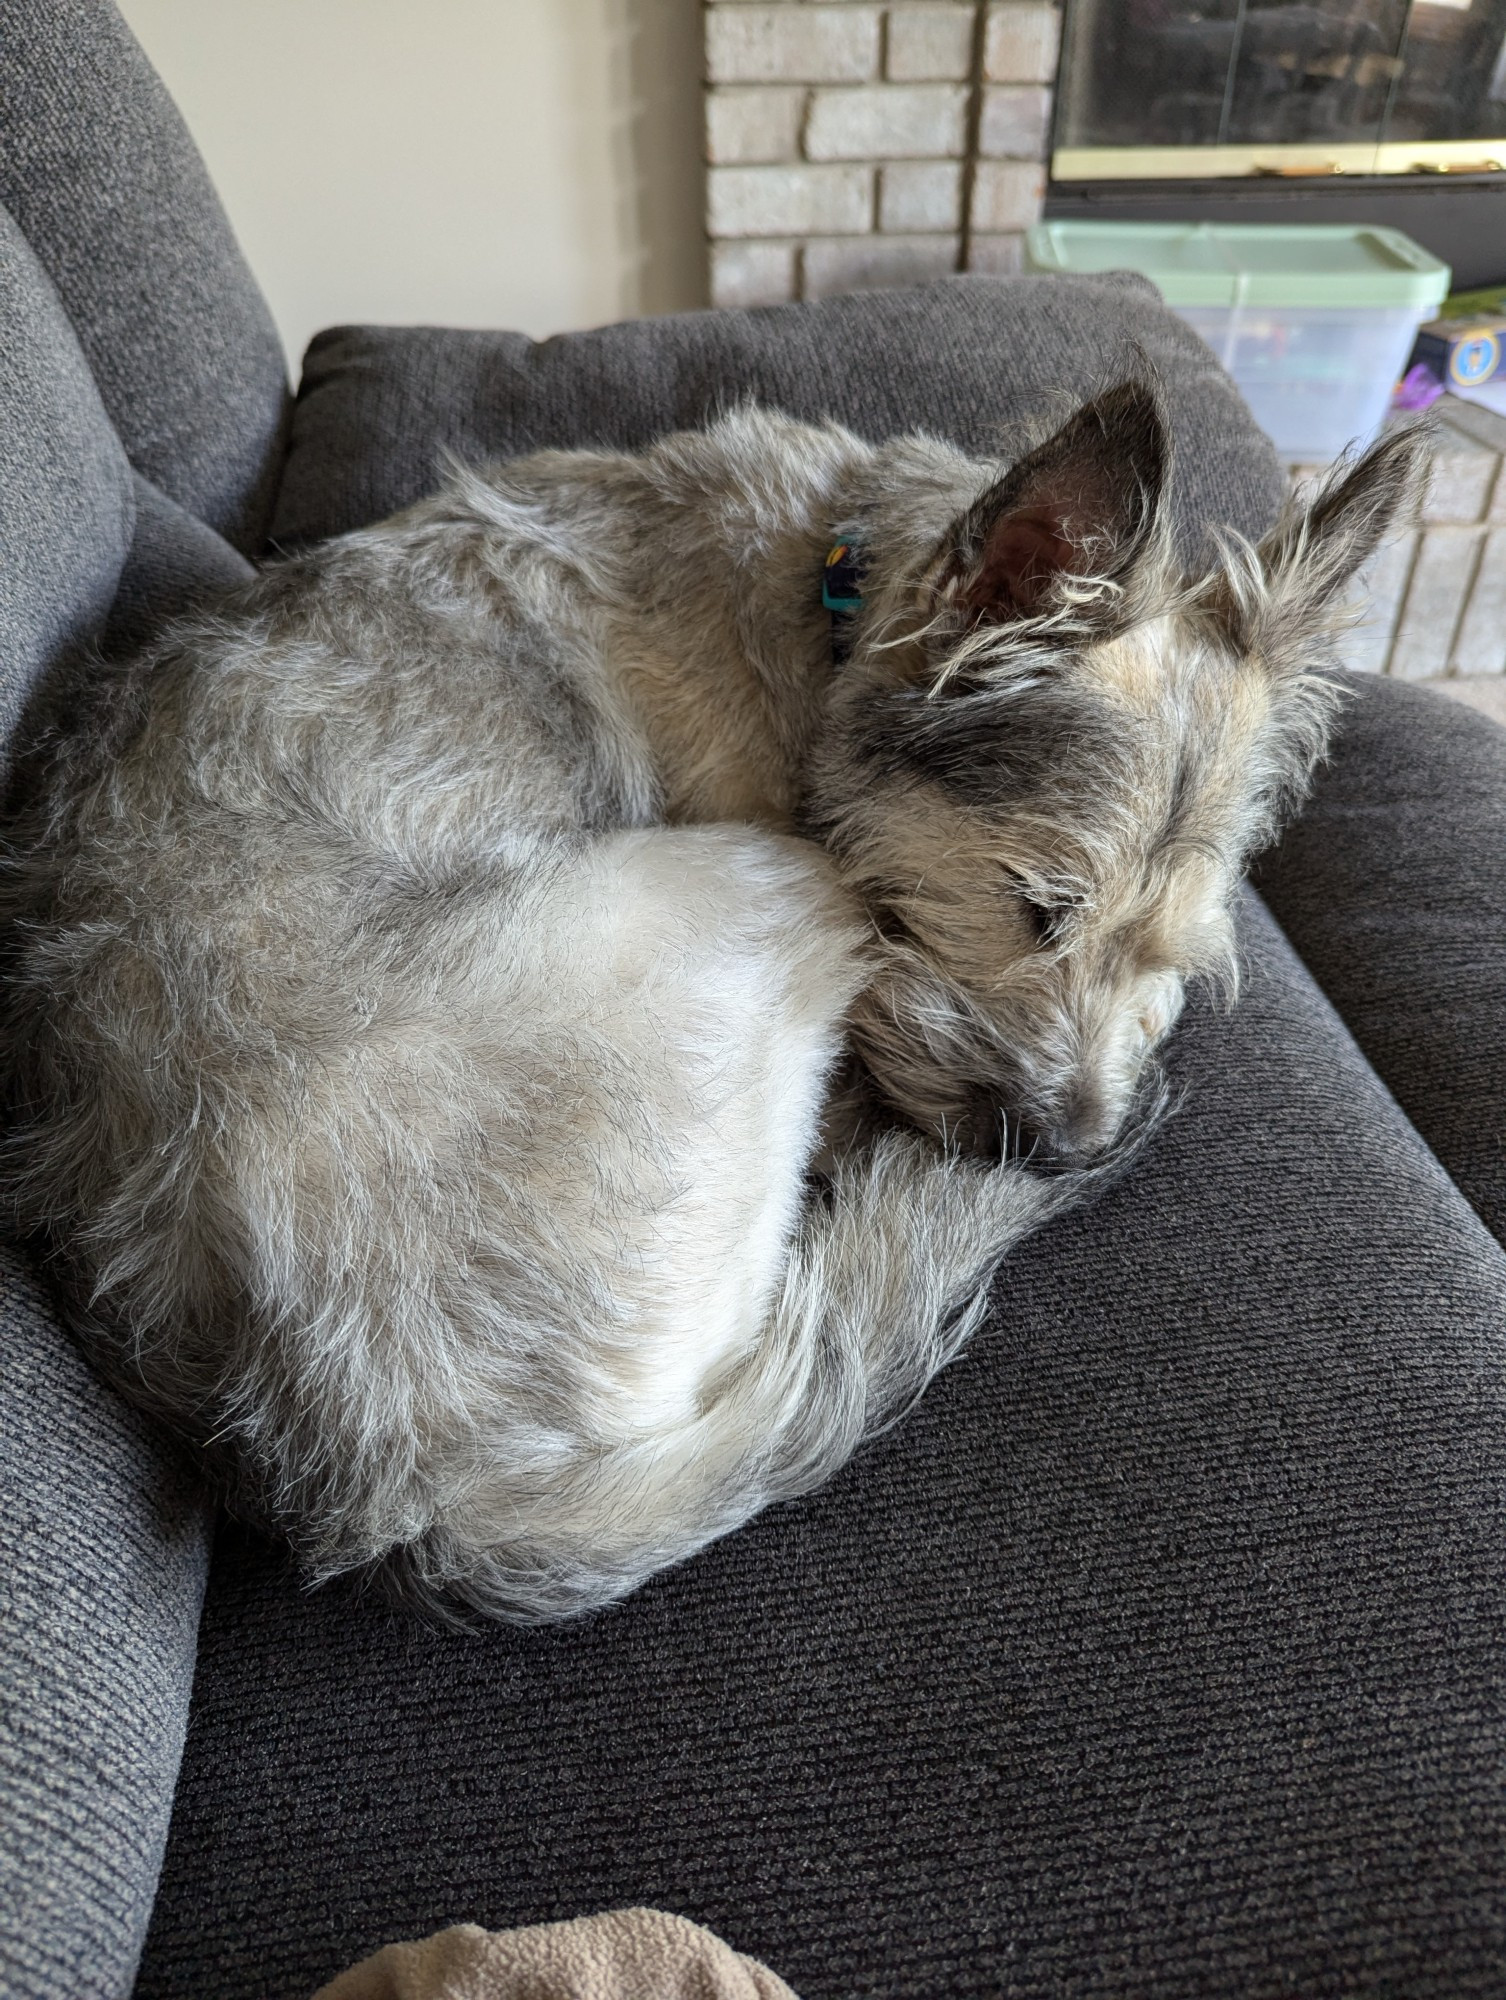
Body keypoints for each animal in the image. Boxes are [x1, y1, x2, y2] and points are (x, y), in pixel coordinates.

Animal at [0, 382, 1424, 1616]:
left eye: (1176, 962)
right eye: (1035, 905)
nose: (1066, 1150)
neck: (830, 591)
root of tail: (403, 1481)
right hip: (763, 877)